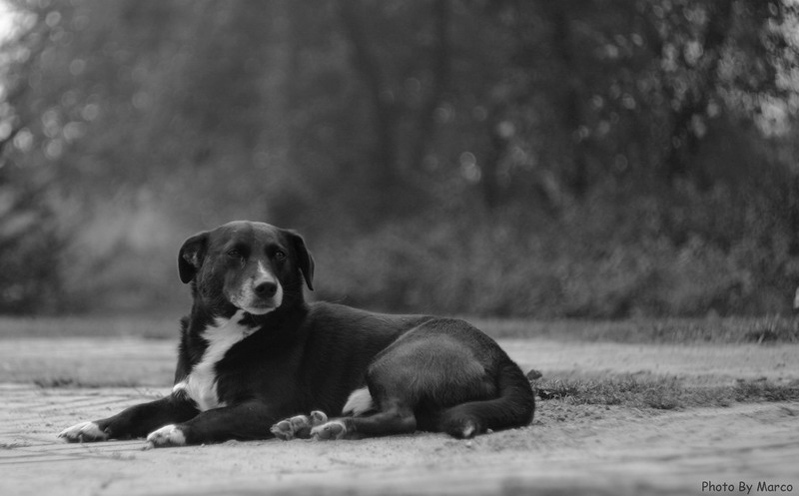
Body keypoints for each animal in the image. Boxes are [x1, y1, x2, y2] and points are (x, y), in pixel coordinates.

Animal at [59, 221, 536, 446]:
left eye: (280, 255)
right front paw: (92, 426)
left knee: (403, 417)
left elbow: (210, 418)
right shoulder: (184, 394)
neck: (236, 333)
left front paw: (175, 432)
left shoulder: (262, 406)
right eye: (234, 254)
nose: (267, 287)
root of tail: (502, 355)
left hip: (395, 359)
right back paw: (309, 423)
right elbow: (135, 409)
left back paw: (332, 427)